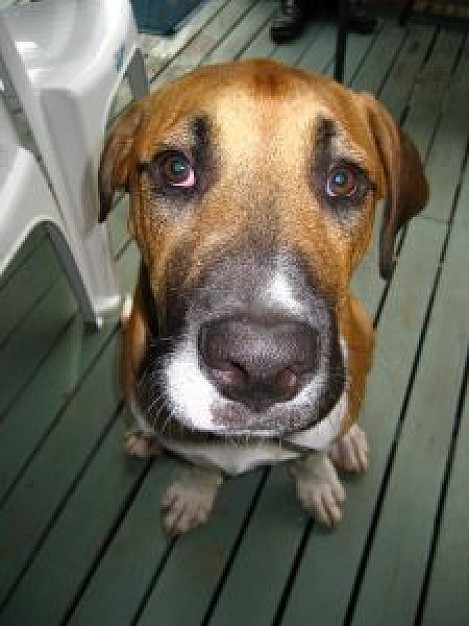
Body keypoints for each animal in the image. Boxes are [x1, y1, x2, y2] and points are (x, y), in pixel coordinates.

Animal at [98, 58, 428, 532]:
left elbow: (311, 455)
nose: (261, 367)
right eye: (176, 168)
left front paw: (317, 482)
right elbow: (202, 462)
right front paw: (196, 490)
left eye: (343, 180)